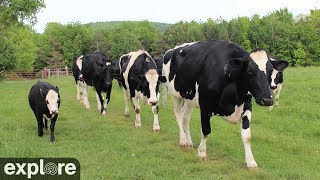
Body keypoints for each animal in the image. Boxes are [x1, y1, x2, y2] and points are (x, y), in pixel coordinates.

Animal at [164, 40, 274, 169]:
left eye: (271, 71)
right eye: (249, 70)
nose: (267, 100)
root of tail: (172, 49)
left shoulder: (246, 107)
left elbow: (247, 136)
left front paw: (251, 162)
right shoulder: (205, 106)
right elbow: (206, 130)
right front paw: (202, 153)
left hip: (189, 99)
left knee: (185, 118)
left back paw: (189, 142)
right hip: (175, 94)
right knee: (178, 115)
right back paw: (183, 140)